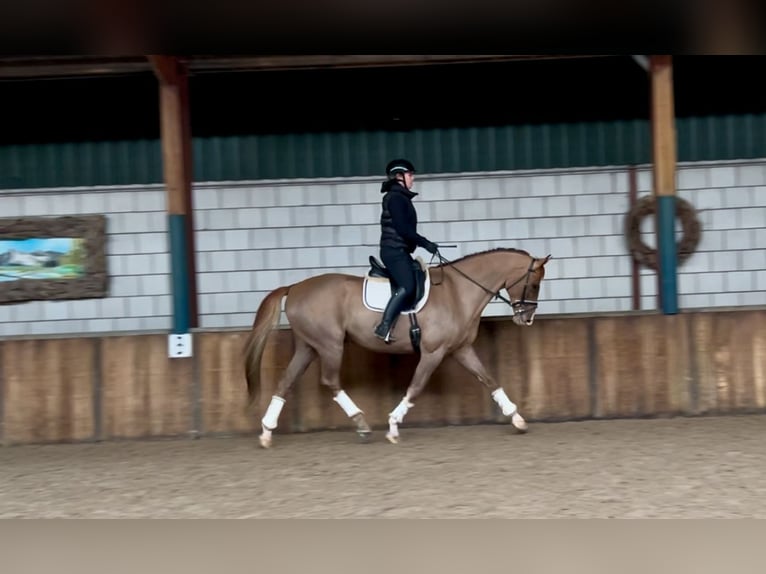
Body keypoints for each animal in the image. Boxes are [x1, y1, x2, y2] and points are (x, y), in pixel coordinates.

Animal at [246, 248, 552, 450]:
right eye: (535, 285)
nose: (526, 319)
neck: (457, 292)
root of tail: (295, 286)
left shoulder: (461, 349)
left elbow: (489, 379)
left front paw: (518, 419)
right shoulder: (433, 352)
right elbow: (415, 387)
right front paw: (393, 426)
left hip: (308, 346)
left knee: (286, 381)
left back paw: (266, 432)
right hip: (329, 344)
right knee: (329, 380)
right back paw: (362, 424)